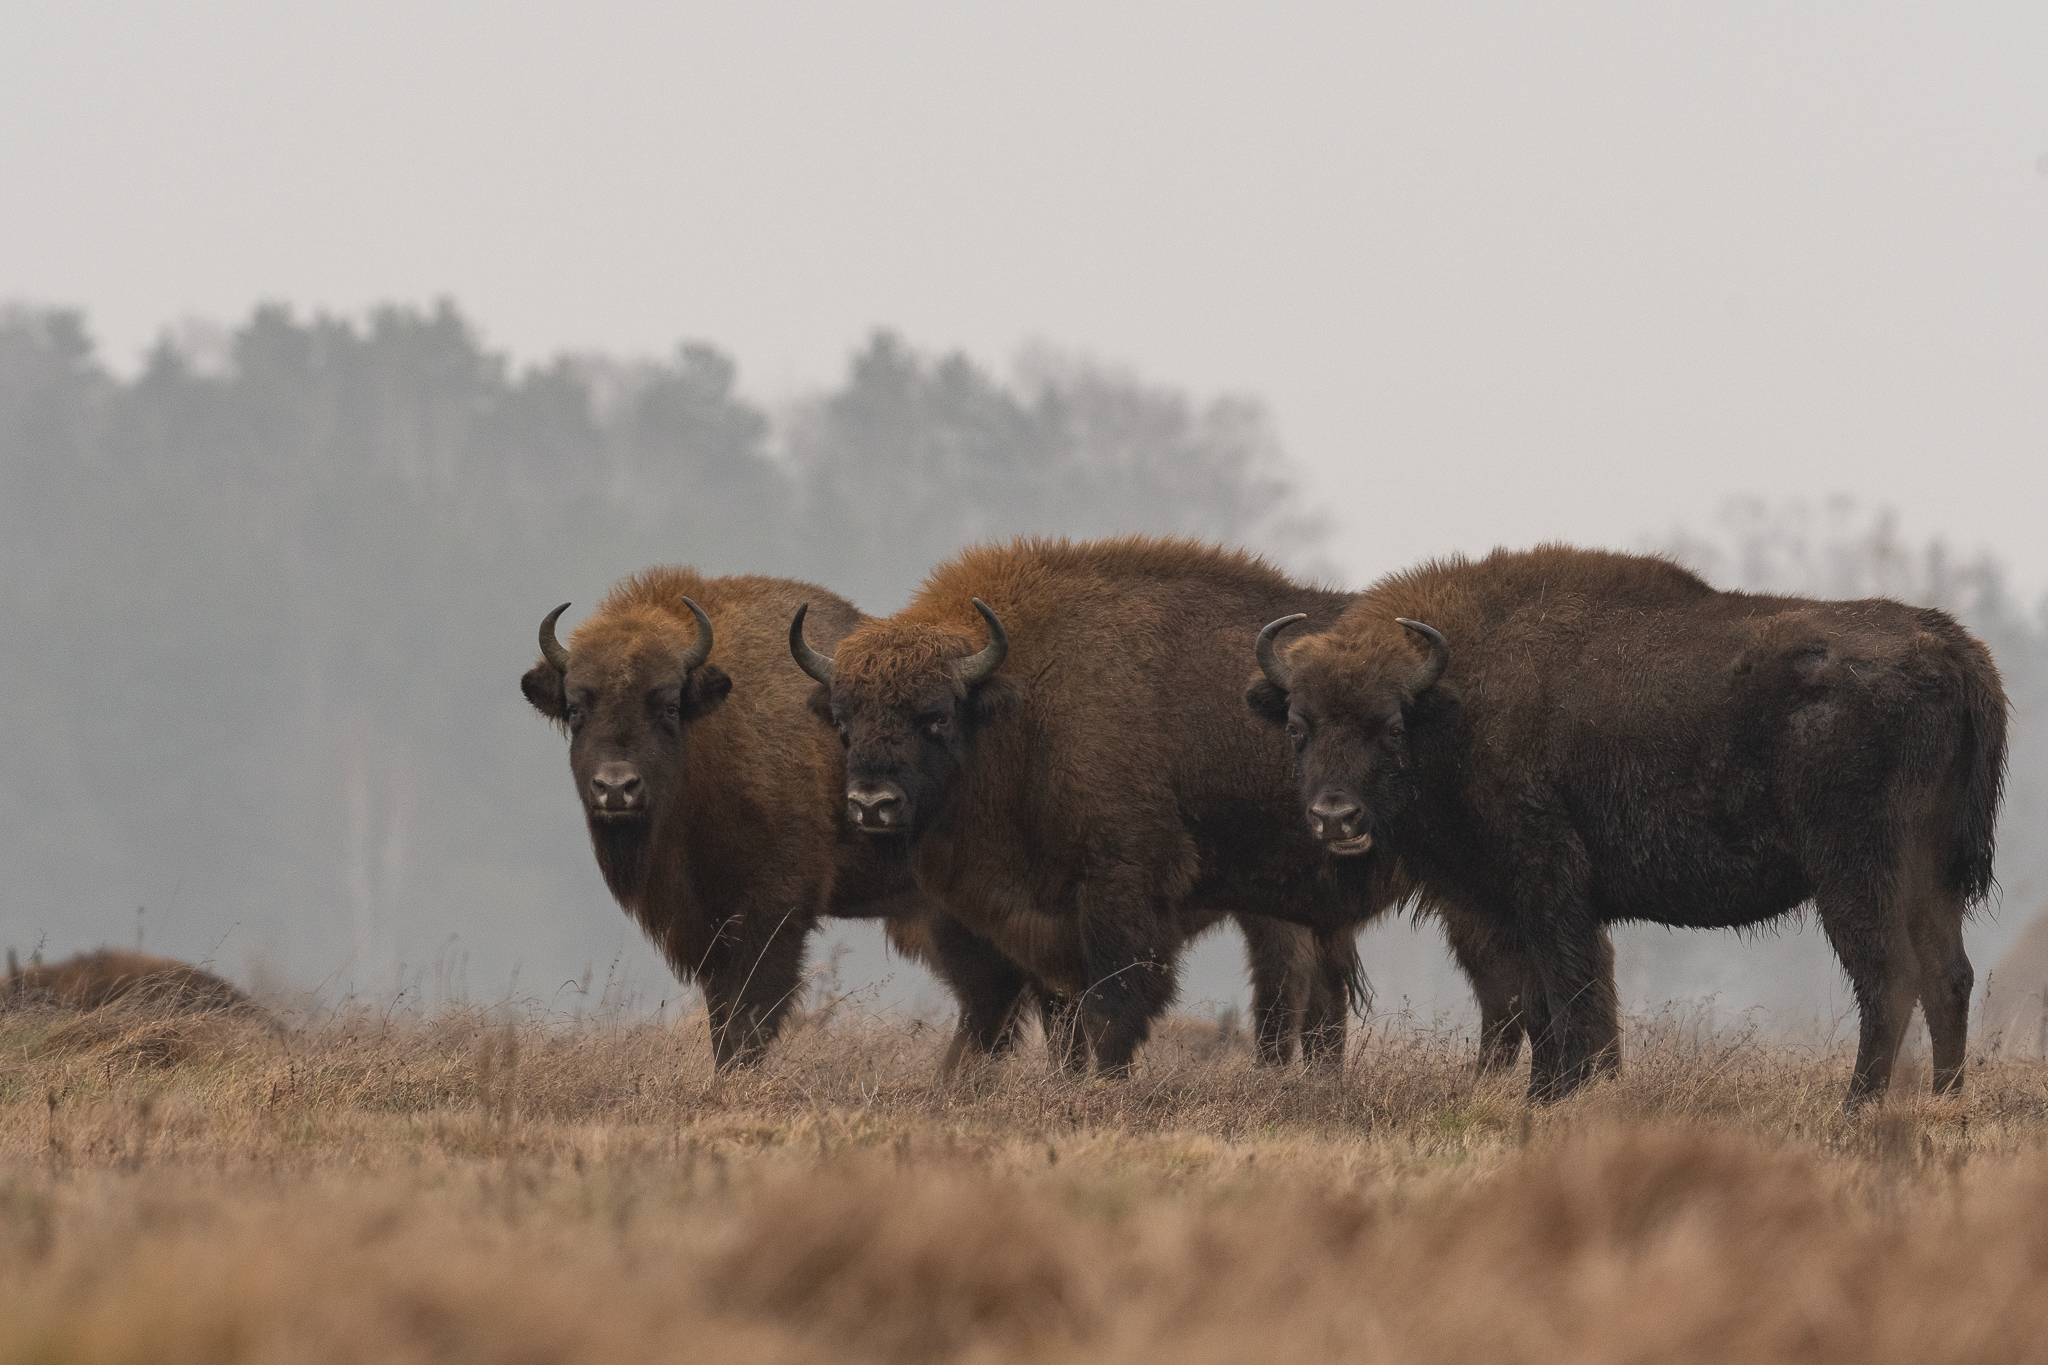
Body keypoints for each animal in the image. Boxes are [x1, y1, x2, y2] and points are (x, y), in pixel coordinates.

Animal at [790, 535, 1550, 1075]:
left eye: (936, 716)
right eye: (844, 718)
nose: (872, 802)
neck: (1024, 699)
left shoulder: (1121, 892)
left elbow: (1112, 1006)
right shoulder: (1047, 917)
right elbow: (1063, 1016)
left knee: (1500, 992)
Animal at [1249, 545, 2007, 1105]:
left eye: (1389, 726)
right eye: (1298, 725)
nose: (1335, 816)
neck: (1455, 700)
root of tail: (1950, 644)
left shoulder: (1548, 887)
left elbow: (1570, 991)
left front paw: (1563, 1096)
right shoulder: (1506, 906)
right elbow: (1540, 1002)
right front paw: (1547, 1095)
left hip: (1855, 869)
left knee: (1890, 975)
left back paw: (1859, 1105)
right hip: (1931, 875)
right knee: (1949, 976)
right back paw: (1943, 1099)